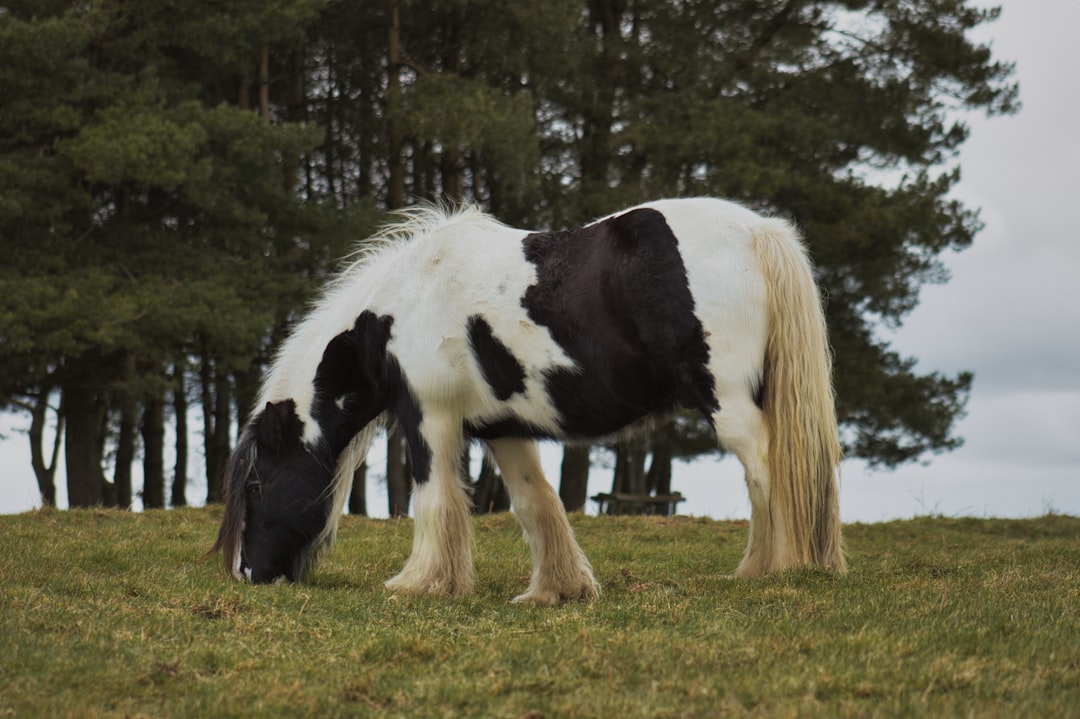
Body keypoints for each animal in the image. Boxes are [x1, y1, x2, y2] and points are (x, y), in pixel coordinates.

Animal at [210, 194, 846, 600]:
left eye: (256, 486)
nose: (248, 575)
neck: (407, 300)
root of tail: (758, 232)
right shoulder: (503, 428)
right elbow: (535, 503)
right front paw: (558, 590)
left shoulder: (428, 416)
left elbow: (434, 498)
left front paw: (420, 584)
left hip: (729, 402)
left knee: (769, 471)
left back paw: (772, 572)